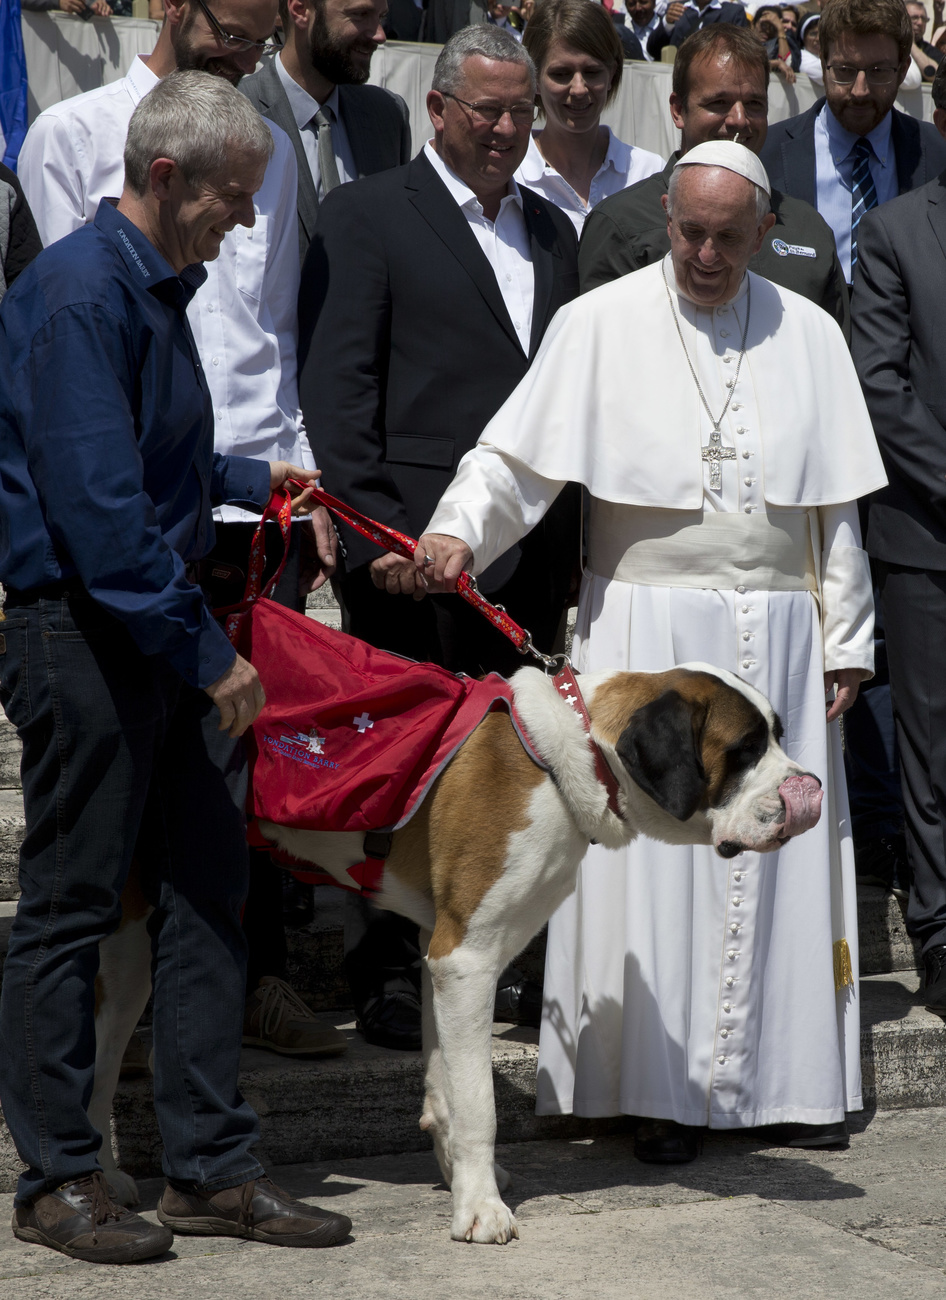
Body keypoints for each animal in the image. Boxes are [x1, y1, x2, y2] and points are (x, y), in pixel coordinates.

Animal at [90, 665, 821, 1242]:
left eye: (777, 736)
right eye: (745, 750)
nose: (809, 785)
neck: (576, 757)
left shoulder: (443, 955)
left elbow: (447, 1081)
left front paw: (462, 1179)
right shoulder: (466, 959)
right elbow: (479, 1102)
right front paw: (482, 1211)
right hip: (129, 944)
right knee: (97, 1052)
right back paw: (101, 1180)